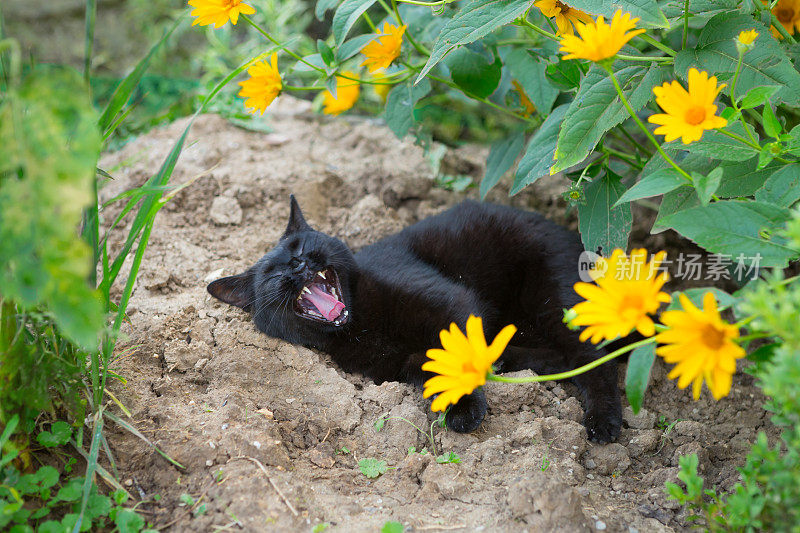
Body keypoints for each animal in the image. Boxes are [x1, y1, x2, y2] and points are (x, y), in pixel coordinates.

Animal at [209, 195, 620, 440]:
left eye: (300, 245)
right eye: (273, 274)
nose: (297, 263)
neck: (360, 324)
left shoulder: (452, 303)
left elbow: (457, 357)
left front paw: (465, 410)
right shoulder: (403, 362)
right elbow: (436, 370)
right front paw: (463, 404)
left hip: (552, 297)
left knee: (593, 358)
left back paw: (604, 422)